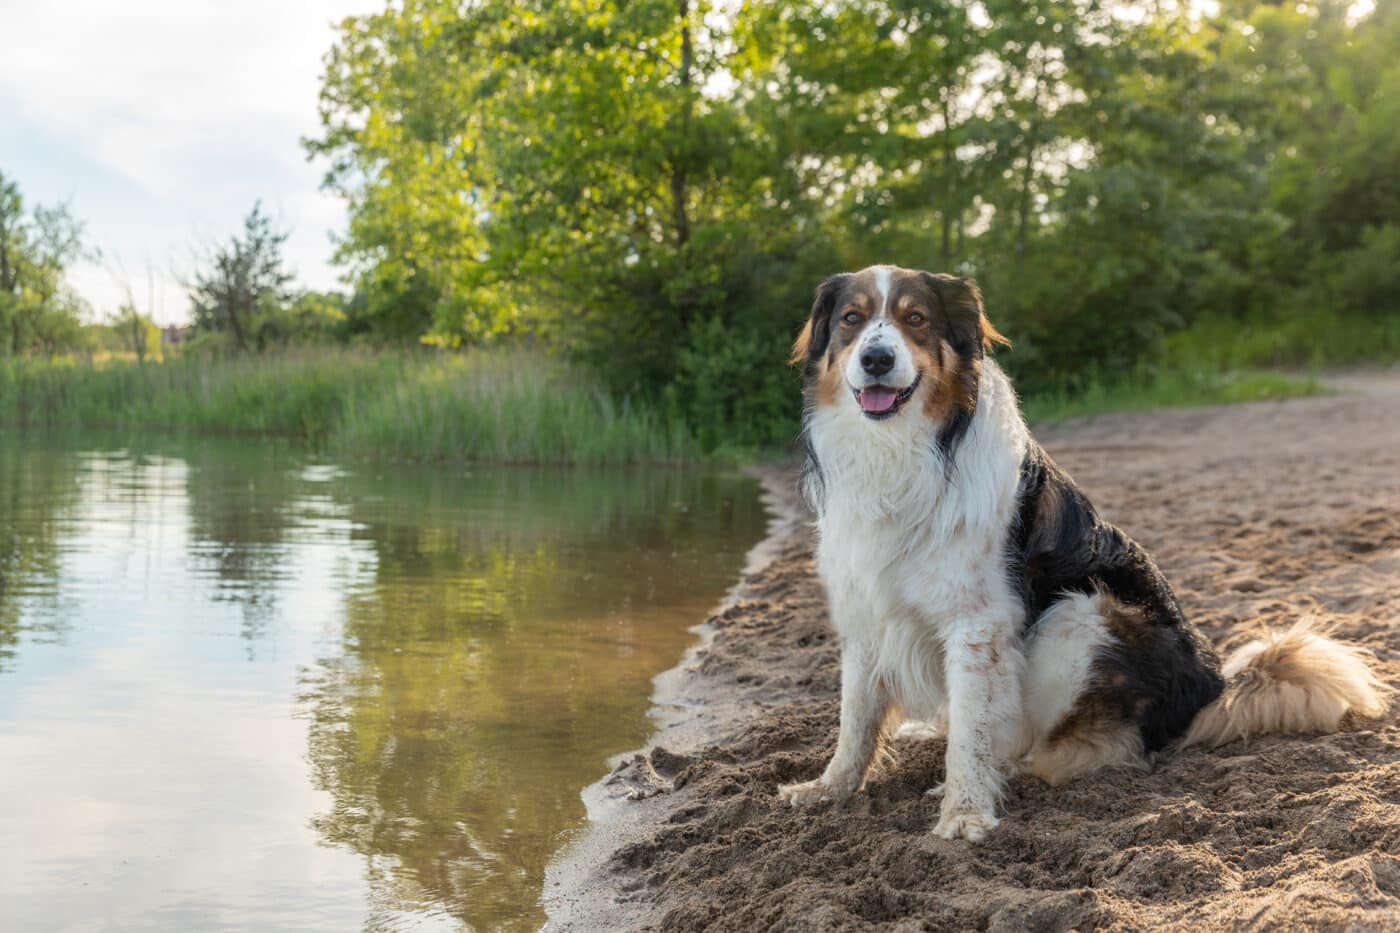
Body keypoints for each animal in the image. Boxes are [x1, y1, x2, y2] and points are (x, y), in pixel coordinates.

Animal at [778, 264, 1388, 840]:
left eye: (916, 319)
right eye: (852, 319)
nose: (877, 359)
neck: (900, 450)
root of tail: (1213, 687)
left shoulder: (980, 622)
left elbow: (973, 732)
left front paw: (965, 810)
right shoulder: (865, 607)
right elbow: (856, 718)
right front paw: (829, 789)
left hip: (1083, 612)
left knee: (1085, 746)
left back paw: (1009, 769)